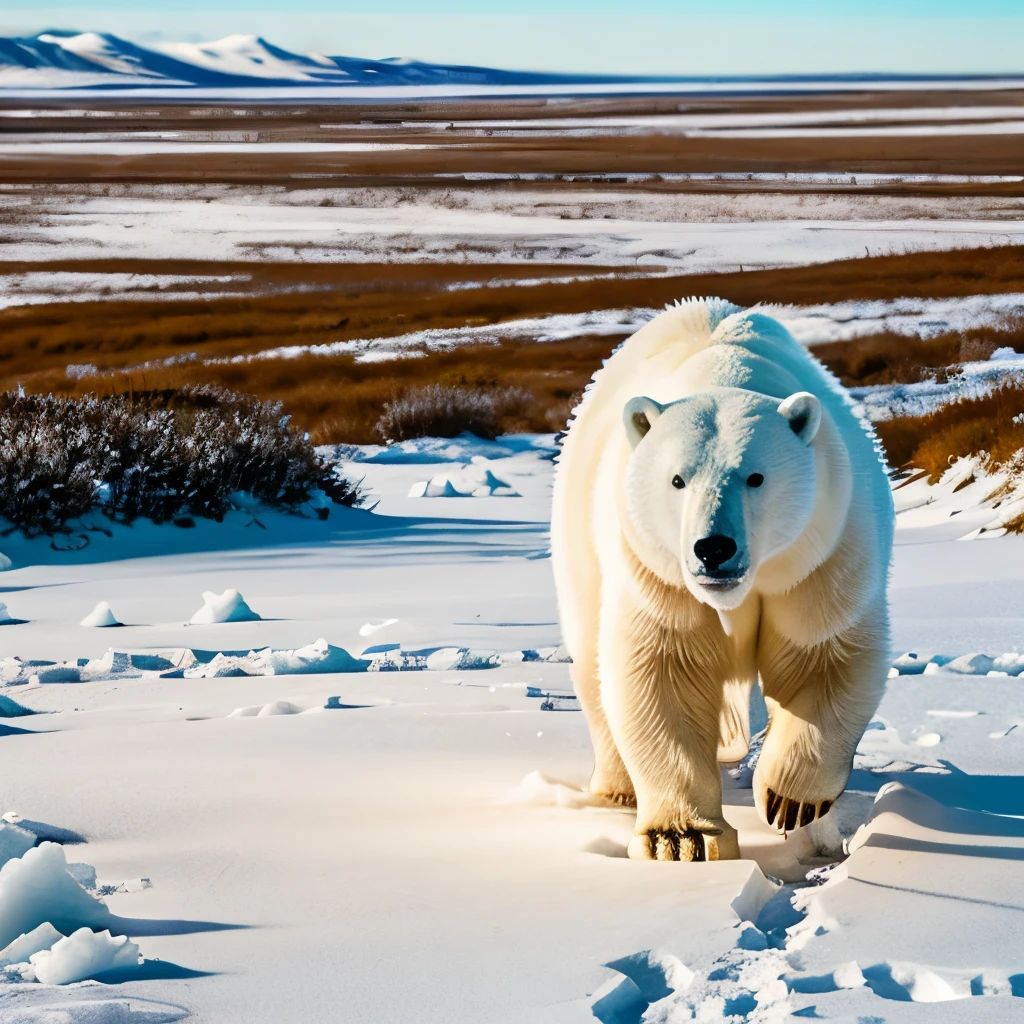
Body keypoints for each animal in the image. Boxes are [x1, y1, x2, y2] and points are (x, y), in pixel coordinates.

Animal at [548, 299, 892, 860]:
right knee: (592, 656)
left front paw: (790, 802)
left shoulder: (820, 555)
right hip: (582, 537)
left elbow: (821, 653)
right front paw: (679, 837)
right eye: (677, 479)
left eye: (755, 477)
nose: (714, 548)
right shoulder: (656, 573)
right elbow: (664, 668)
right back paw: (618, 789)